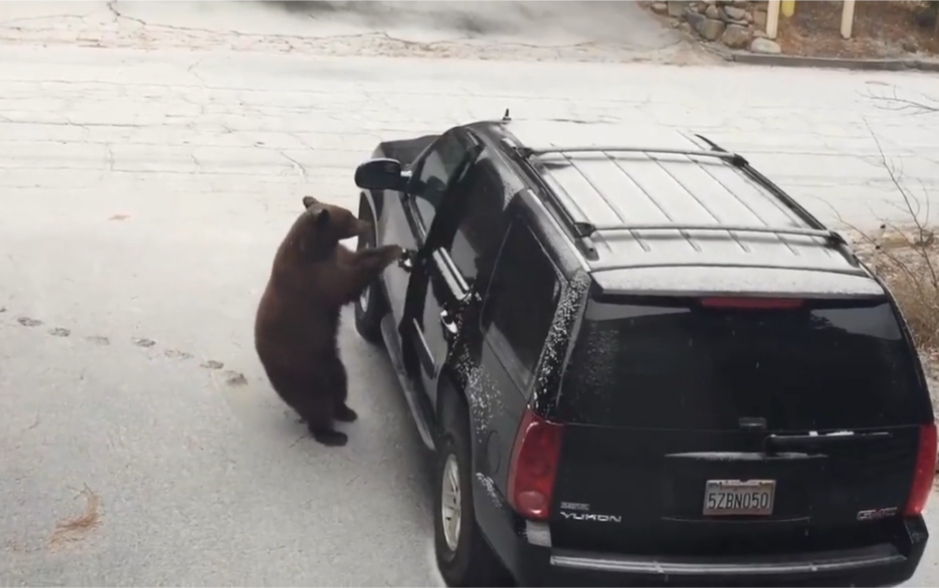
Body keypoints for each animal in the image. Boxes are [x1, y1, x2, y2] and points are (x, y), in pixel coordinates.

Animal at [255, 195, 402, 448]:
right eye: (350, 217)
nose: (366, 222)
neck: (315, 249)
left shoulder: (336, 256)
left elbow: (357, 258)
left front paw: (388, 247)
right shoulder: (315, 277)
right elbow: (348, 283)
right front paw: (394, 251)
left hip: (330, 361)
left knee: (339, 383)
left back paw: (345, 411)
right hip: (303, 371)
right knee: (316, 404)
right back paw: (332, 434)